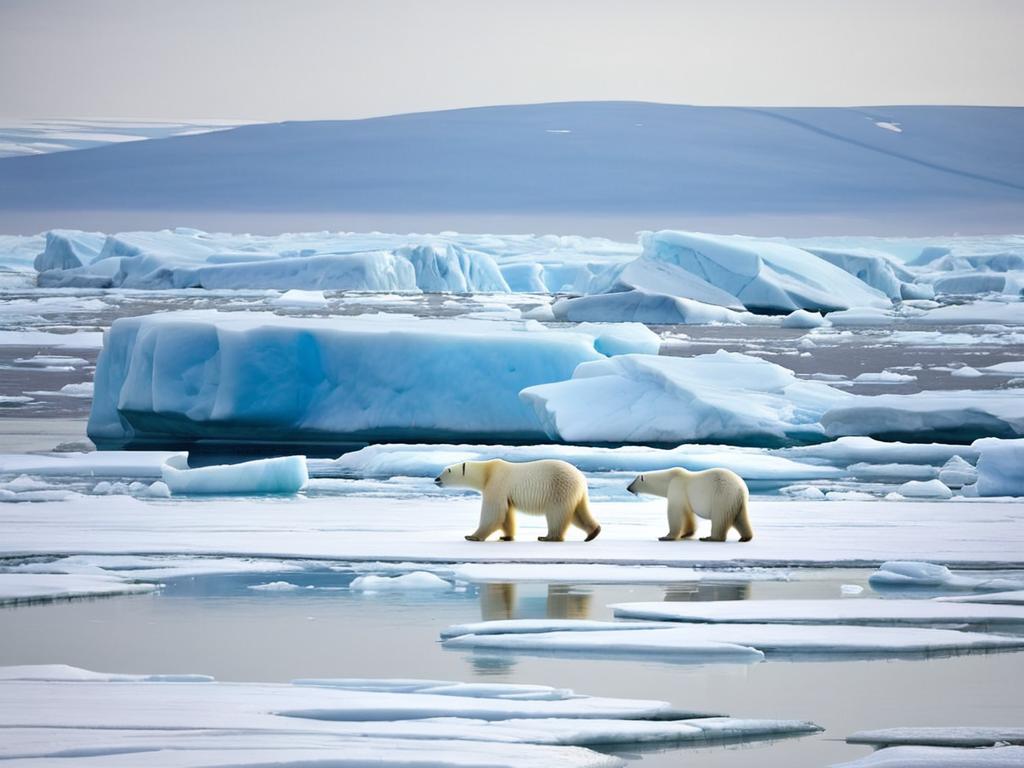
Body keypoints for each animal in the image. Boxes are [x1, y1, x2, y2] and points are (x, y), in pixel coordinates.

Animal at [436, 460, 602, 544]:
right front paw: (505, 537)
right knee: (577, 513)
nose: (436, 479)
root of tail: (581, 478)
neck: (487, 471)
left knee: (557, 514)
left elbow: (493, 513)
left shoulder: (497, 483)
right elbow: (506, 515)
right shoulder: (504, 492)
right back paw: (593, 533)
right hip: (573, 492)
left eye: (446, 471)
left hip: (558, 488)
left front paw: (472, 536)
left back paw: (548, 537)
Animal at [622, 466, 753, 544]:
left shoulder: (676, 488)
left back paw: (710, 538)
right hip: (736, 501)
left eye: (633, 481)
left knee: (719, 518)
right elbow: (688, 514)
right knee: (741, 518)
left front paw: (666, 537)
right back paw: (745, 537)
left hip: (722, 495)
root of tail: (741, 488)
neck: (669, 479)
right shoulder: (685, 497)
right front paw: (686, 534)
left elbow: (675, 513)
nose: (628, 488)